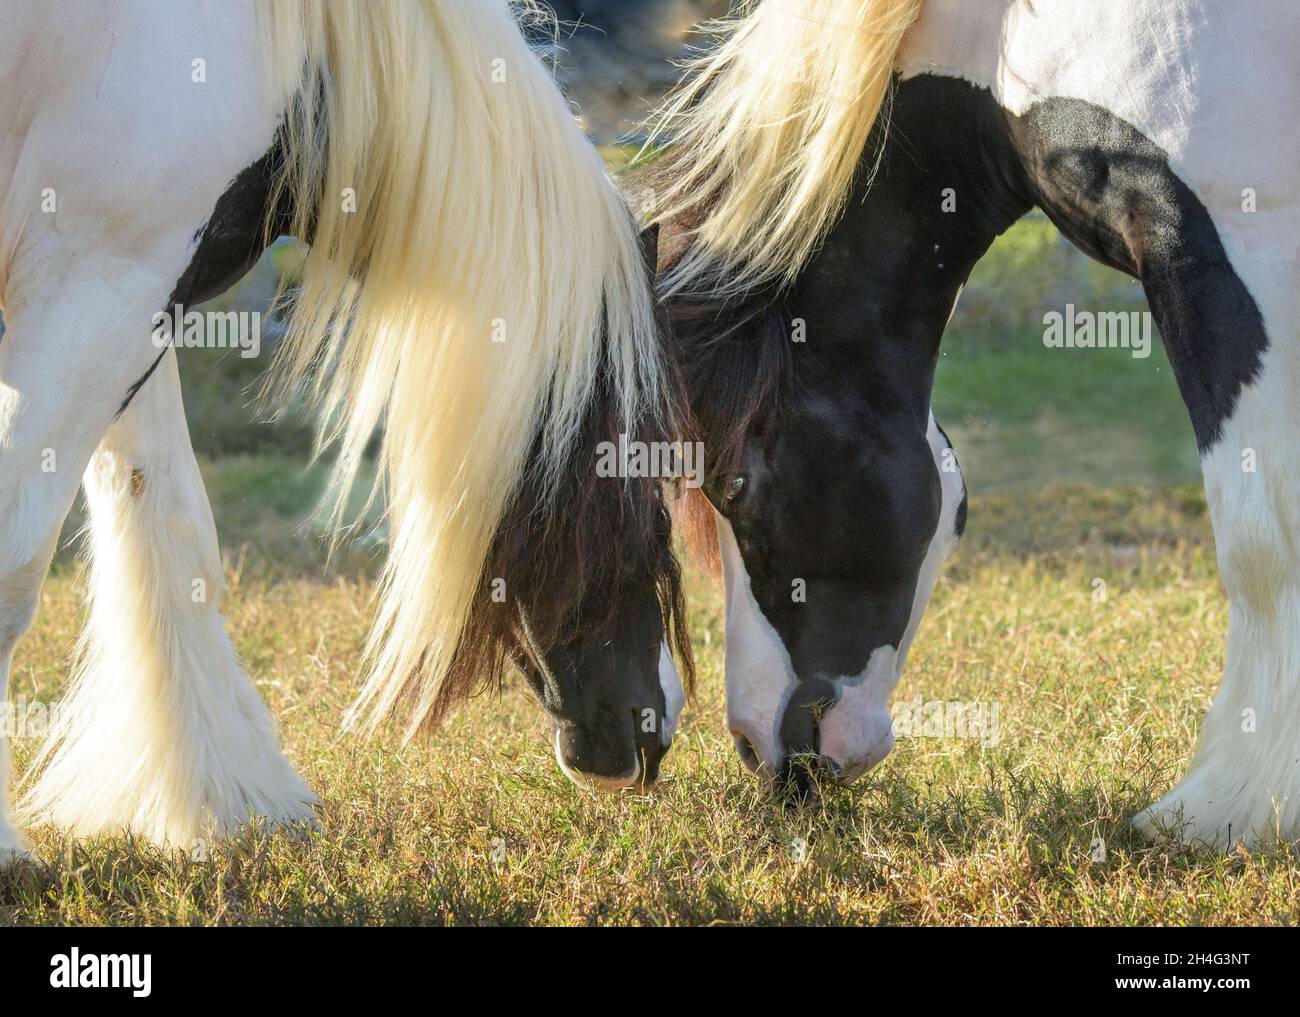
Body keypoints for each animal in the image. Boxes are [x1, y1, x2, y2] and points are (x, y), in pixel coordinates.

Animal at [0, 0, 692, 863]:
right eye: (634, 475)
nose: (657, 725)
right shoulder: (97, 276)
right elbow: (19, 558)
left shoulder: (135, 290)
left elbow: (168, 526)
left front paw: (219, 801)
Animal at [648, 0, 1297, 849]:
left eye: (735, 487)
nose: (761, 749)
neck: (1009, 31)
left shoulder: (1237, 239)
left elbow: (1262, 541)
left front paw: (1226, 805)